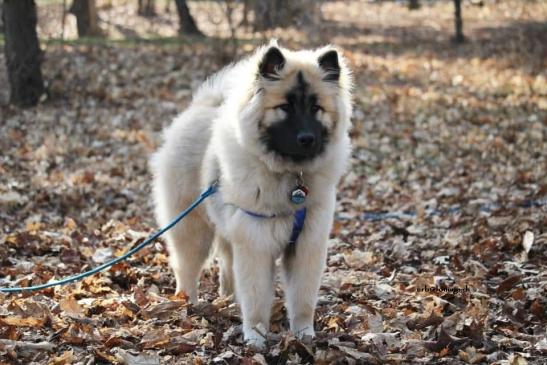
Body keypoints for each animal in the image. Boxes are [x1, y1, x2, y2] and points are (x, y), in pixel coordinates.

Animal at [152, 41, 354, 346]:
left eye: (316, 108)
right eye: (285, 107)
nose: (307, 138)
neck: (291, 179)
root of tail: (200, 109)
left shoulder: (307, 244)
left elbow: (303, 298)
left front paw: (303, 334)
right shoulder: (256, 241)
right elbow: (257, 297)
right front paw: (256, 337)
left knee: (227, 268)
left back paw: (229, 301)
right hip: (192, 228)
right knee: (187, 267)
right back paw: (190, 305)